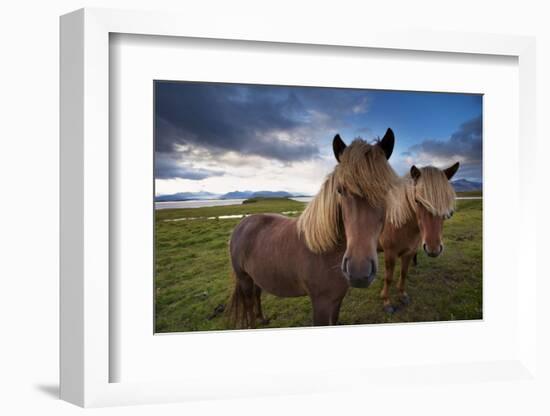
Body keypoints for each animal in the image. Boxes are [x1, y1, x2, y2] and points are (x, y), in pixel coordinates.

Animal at [231, 130, 398, 328]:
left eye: (386, 190)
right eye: (340, 190)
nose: (359, 271)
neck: (325, 251)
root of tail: (242, 224)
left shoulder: (336, 301)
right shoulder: (321, 304)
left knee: (257, 295)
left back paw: (262, 319)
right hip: (244, 279)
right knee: (248, 303)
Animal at [380, 162, 462, 312]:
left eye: (446, 200)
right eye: (417, 201)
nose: (433, 249)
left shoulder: (409, 252)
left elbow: (404, 273)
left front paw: (402, 295)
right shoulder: (390, 254)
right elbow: (388, 278)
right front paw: (387, 302)